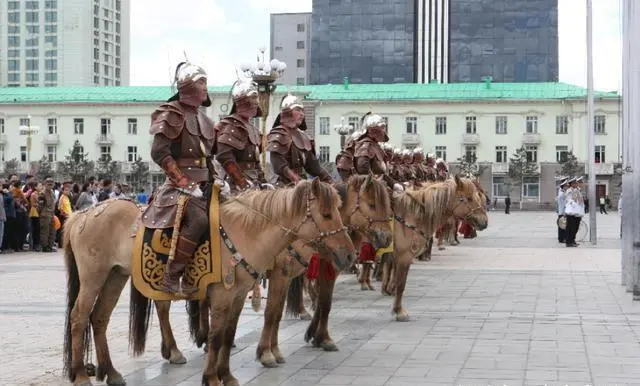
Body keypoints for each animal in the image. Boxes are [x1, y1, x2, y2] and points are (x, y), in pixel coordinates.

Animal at [251, 175, 392, 368]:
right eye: (372, 205)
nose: (387, 238)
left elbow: (321, 303)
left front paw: (316, 336)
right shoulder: (288, 273)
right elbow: (318, 303)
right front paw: (322, 338)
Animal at [378, 176, 488, 322]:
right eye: (469, 198)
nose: (484, 221)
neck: (409, 216)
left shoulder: (395, 256)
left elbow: (395, 278)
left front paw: (390, 293)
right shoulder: (403, 257)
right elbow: (401, 284)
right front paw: (399, 311)